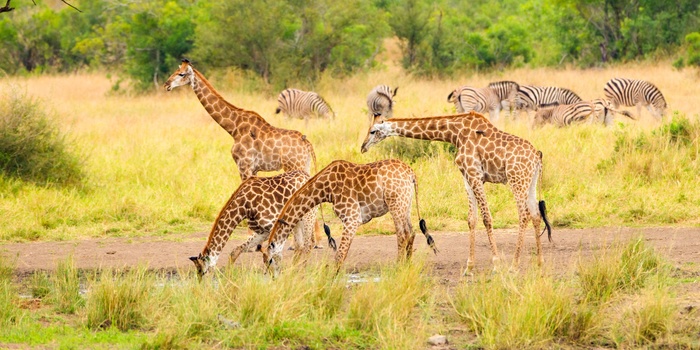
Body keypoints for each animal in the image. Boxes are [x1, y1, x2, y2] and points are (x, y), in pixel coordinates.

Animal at [190, 171, 330, 278]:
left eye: (202, 271)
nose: (202, 285)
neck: (243, 205)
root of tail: (307, 175)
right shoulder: (263, 230)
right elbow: (236, 250)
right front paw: (228, 278)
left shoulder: (273, 225)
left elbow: (273, 255)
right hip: (296, 219)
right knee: (300, 246)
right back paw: (293, 271)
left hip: (308, 215)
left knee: (308, 244)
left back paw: (300, 272)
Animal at [258, 159, 438, 276]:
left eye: (270, 260)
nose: (273, 277)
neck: (325, 189)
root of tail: (411, 173)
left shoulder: (352, 217)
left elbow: (340, 254)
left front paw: (332, 278)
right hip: (405, 203)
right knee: (411, 232)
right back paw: (407, 265)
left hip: (395, 202)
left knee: (402, 234)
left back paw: (398, 267)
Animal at [360, 112, 552, 270]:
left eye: (373, 131)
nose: (363, 147)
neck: (454, 133)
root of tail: (537, 156)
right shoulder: (467, 177)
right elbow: (471, 219)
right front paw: (469, 266)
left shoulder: (474, 174)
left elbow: (487, 218)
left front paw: (496, 263)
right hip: (530, 181)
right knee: (535, 214)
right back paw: (540, 262)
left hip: (516, 179)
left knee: (524, 214)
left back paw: (514, 264)